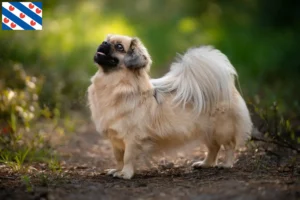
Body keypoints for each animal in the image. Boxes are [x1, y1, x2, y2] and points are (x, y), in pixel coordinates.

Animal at [87, 34, 253, 180]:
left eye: (119, 47)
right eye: (106, 40)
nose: (104, 43)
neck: (113, 85)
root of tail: (226, 88)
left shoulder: (132, 139)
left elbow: (127, 158)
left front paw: (125, 174)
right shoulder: (115, 139)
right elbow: (119, 158)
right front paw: (117, 170)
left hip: (222, 130)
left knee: (229, 146)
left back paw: (226, 164)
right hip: (206, 131)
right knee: (214, 148)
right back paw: (205, 164)